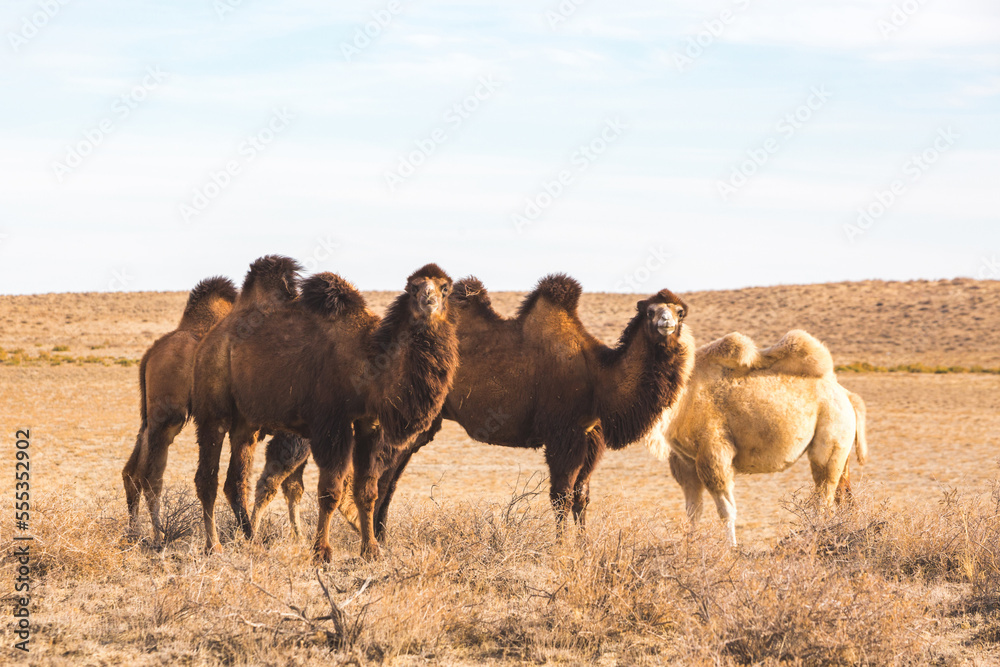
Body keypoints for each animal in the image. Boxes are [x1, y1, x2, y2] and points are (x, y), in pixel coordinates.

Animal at [122, 276, 237, 542]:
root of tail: (150, 353)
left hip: (151, 416)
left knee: (133, 471)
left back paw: (136, 532)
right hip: (169, 414)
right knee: (150, 476)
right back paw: (158, 536)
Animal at [192, 256, 458, 561]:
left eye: (445, 288)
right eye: (413, 287)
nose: (429, 300)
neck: (368, 360)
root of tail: (211, 339)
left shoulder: (369, 424)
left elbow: (366, 491)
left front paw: (371, 550)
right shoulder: (332, 423)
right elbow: (330, 492)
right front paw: (321, 552)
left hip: (246, 421)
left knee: (236, 480)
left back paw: (252, 541)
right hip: (212, 404)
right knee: (207, 479)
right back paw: (214, 546)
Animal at [252, 274, 694, 540]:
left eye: (679, 310)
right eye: (651, 310)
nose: (665, 325)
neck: (599, 376)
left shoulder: (592, 435)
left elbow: (583, 496)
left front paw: (584, 546)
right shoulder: (563, 433)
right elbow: (562, 495)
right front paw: (563, 547)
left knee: (384, 477)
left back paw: (378, 537)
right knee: (379, 474)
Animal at [641, 329, 868, 546]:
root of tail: (848, 397)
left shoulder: (714, 453)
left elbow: (726, 510)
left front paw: (731, 550)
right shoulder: (685, 461)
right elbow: (693, 512)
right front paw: (689, 548)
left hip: (831, 435)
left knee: (823, 498)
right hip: (841, 449)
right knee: (842, 495)